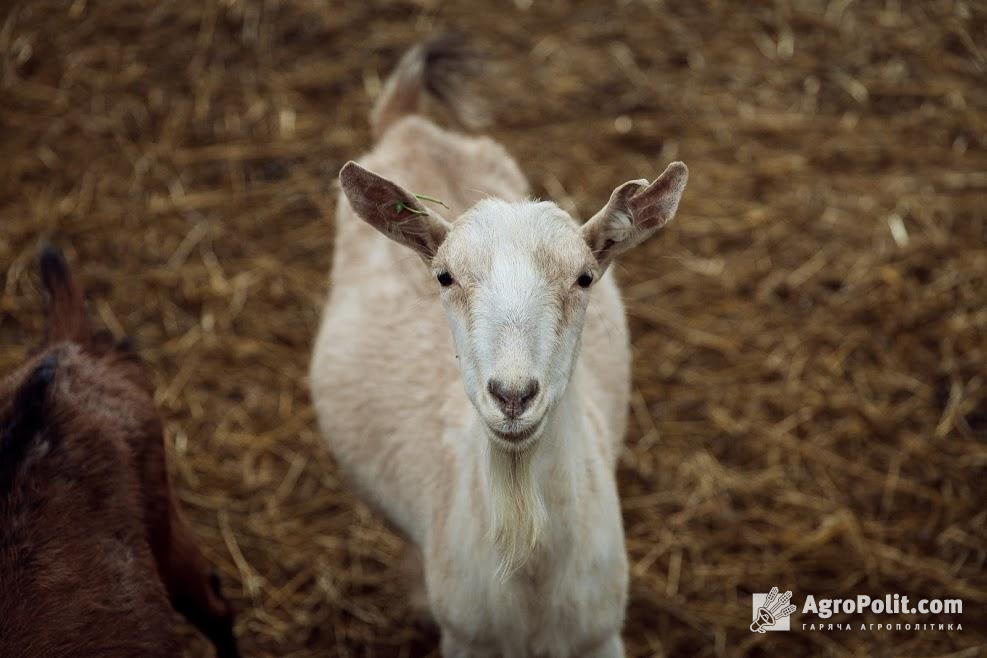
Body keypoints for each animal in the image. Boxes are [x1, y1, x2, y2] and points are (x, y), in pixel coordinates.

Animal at [308, 37, 688, 656]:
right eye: (443, 276)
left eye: (586, 277)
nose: (512, 396)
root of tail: (411, 125)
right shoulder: (468, 637)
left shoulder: (600, 634)